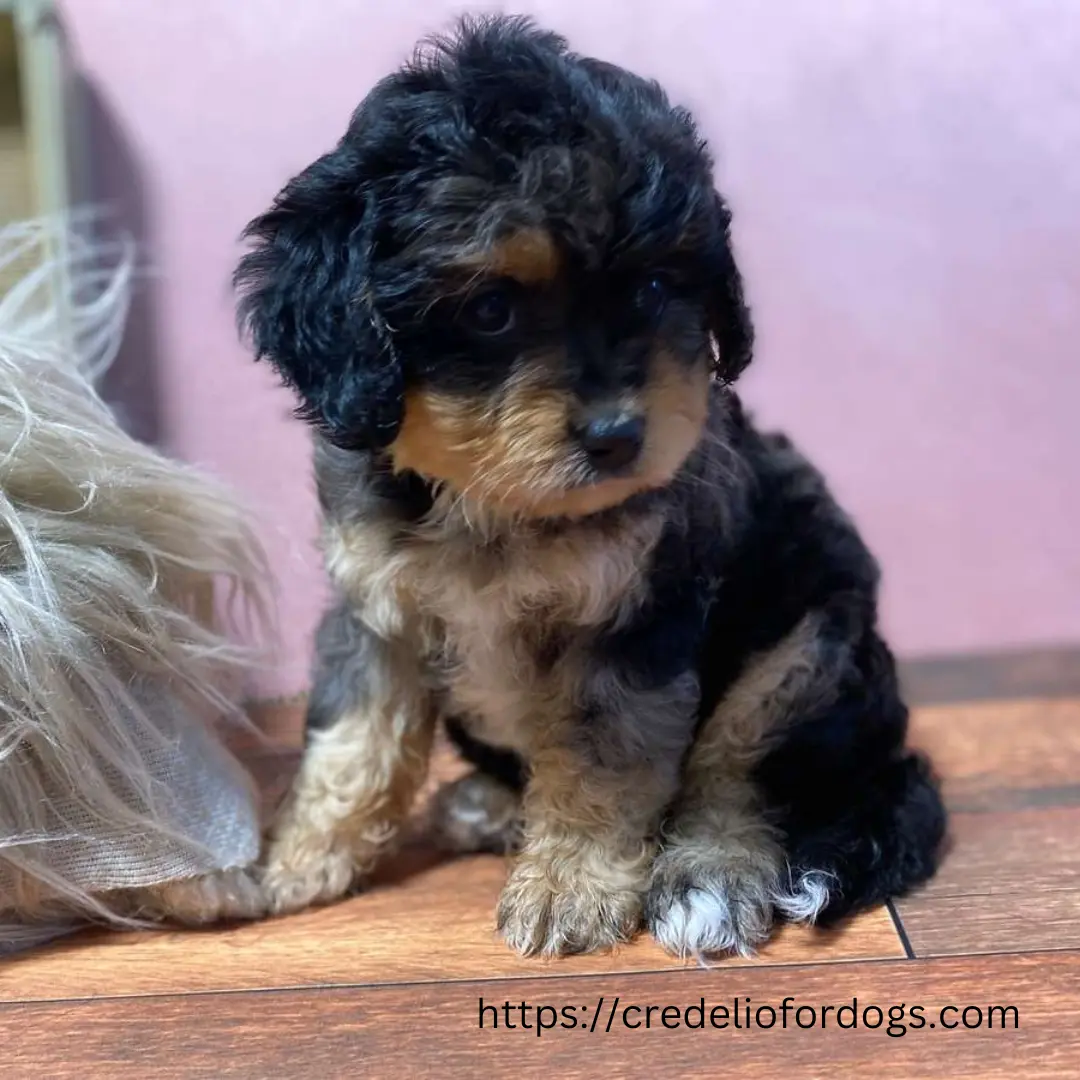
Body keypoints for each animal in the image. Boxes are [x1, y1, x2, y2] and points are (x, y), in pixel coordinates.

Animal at [234, 16, 946, 959]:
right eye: (489, 311)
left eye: (654, 287)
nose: (618, 436)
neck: (495, 503)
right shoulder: (374, 608)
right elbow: (352, 742)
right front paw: (296, 859)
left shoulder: (632, 623)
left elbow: (602, 758)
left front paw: (569, 887)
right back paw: (488, 804)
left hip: (808, 653)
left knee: (739, 773)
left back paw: (710, 877)